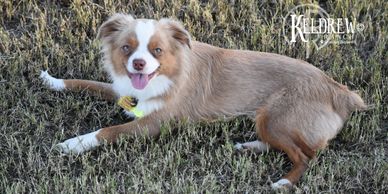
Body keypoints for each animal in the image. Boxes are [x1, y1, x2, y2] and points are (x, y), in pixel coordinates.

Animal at [41, 14, 366, 189]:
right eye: (126, 48)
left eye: (157, 50)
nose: (138, 65)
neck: (169, 73)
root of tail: (341, 92)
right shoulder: (127, 92)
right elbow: (87, 83)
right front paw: (52, 81)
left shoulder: (153, 124)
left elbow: (107, 131)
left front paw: (72, 144)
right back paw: (249, 147)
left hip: (275, 117)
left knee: (305, 155)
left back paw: (284, 182)